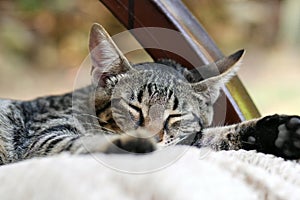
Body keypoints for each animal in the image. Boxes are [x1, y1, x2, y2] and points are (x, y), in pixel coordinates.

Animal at [0, 23, 298, 166]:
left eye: (175, 115)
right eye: (134, 107)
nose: (152, 137)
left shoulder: (186, 138)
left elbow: (214, 136)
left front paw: (276, 131)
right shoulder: (44, 137)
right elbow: (83, 142)